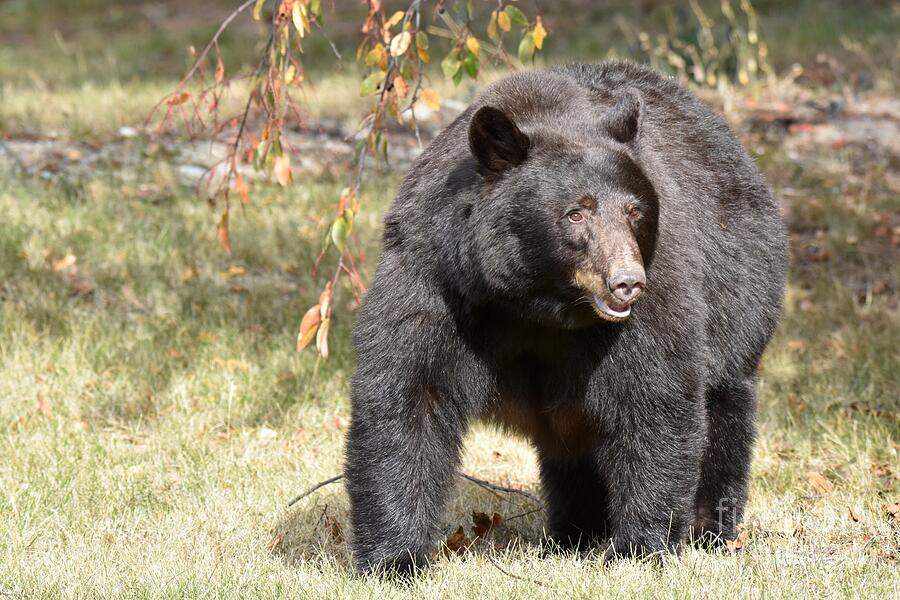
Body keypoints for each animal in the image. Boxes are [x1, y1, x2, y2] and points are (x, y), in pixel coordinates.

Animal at [344, 59, 788, 572]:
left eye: (635, 210)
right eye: (577, 213)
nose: (626, 281)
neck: (535, 303)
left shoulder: (656, 292)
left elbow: (653, 396)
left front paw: (640, 548)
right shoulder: (437, 278)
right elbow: (411, 394)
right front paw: (394, 558)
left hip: (740, 290)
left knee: (724, 405)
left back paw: (710, 530)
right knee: (569, 444)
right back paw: (573, 533)